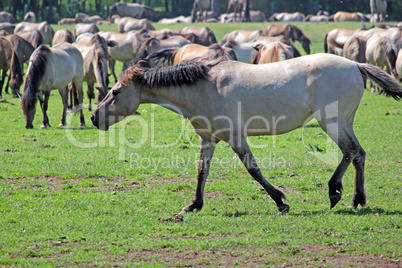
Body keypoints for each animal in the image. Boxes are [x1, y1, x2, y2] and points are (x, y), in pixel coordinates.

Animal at [91, 54, 402, 214]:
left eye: (115, 92)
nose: (94, 117)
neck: (204, 86)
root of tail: (355, 65)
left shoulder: (236, 138)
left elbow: (253, 170)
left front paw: (280, 201)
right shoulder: (209, 140)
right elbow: (202, 171)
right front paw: (194, 204)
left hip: (333, 122)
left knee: (350, 151)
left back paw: (335, 191)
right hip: (344, 122)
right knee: (359, 154)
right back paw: (356, 198)